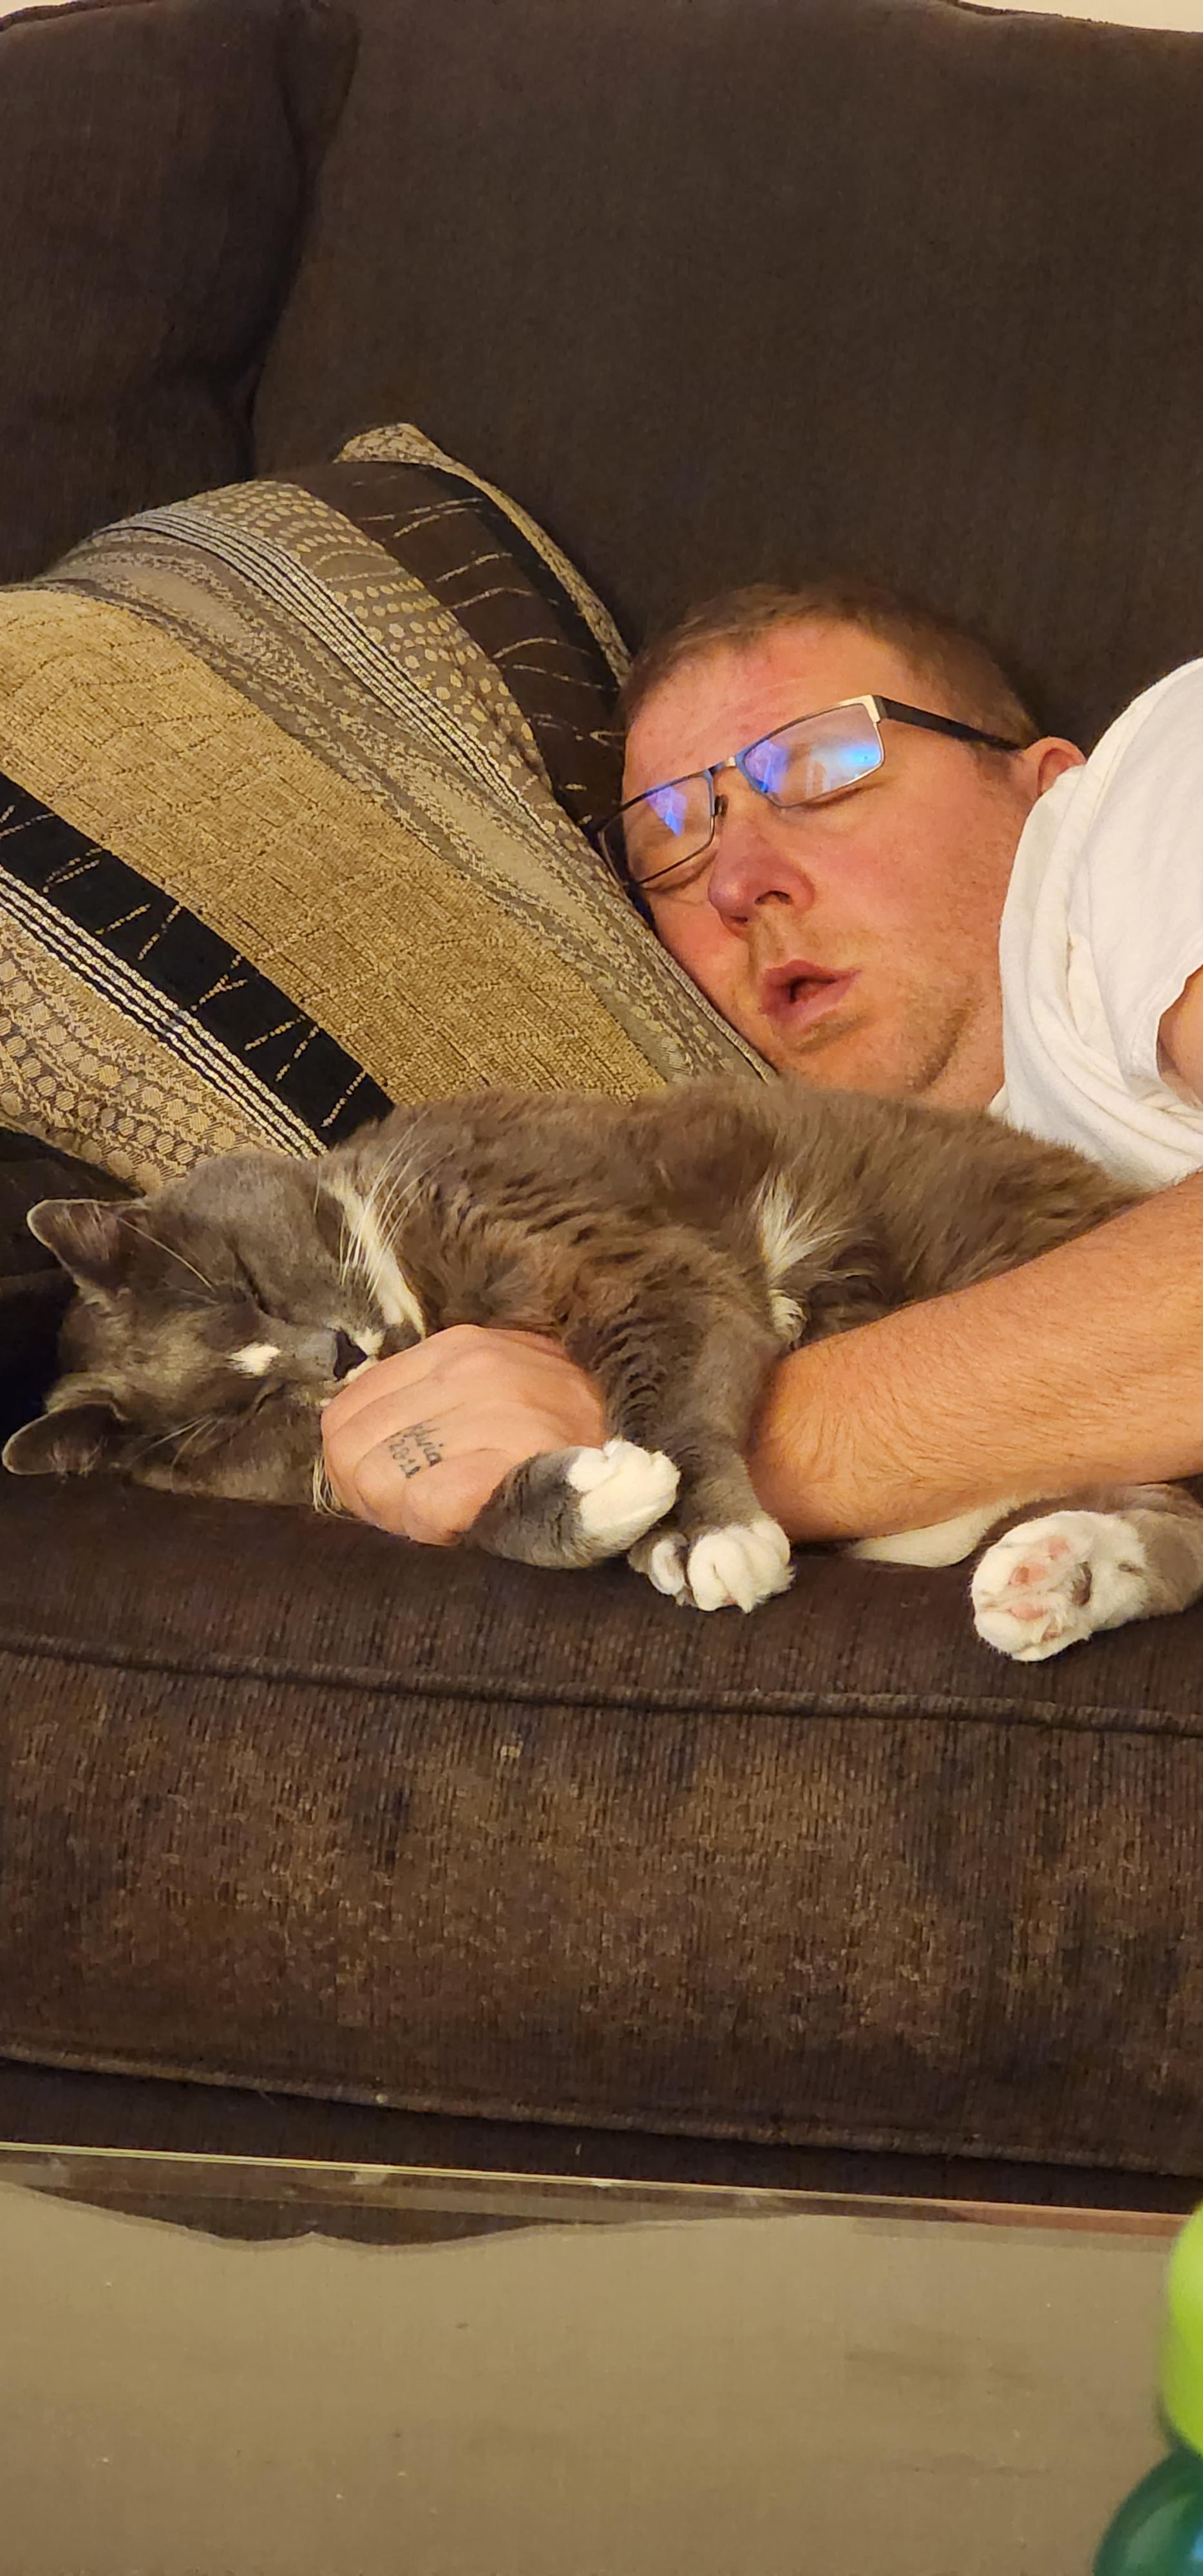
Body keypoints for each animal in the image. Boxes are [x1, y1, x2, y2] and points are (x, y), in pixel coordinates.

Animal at [6, 1073, 1203, 1662]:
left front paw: (705, 1536)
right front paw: (602, 1501)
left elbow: (671, 1381)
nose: (337, 1355)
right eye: (242, 1414)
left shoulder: (624, 1258)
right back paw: (1052, 1581)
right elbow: (485, 1518)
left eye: (247, 1283)